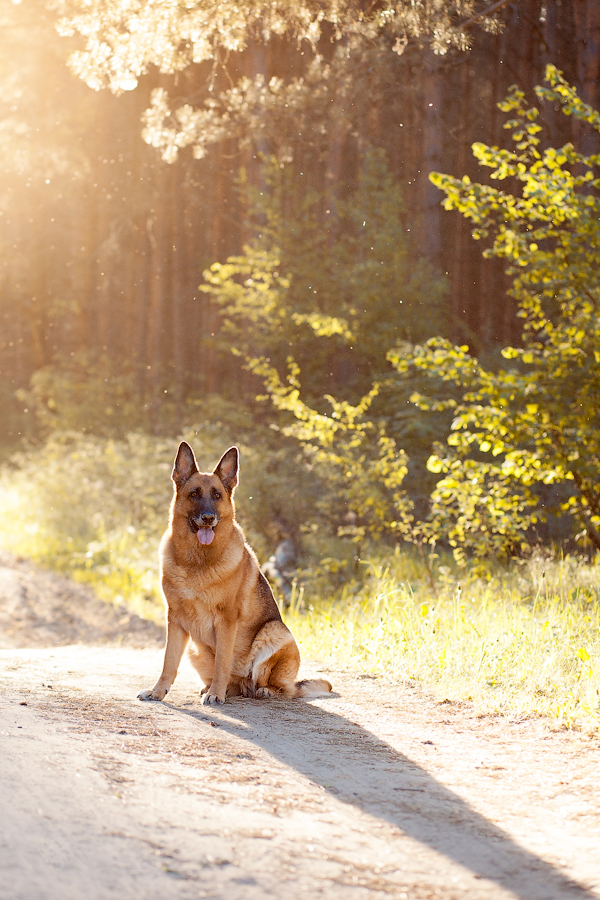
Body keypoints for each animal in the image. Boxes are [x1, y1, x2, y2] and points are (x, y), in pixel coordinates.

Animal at [137, 442, 332, 704]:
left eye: (217, 495)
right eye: (194, 494)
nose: (208, 518)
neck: (196, 562)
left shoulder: (226, 620)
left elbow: (222, 661)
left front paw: (216, 694)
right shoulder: (175, 619)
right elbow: (169, 662)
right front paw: (157, 691)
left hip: (274, 631)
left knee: (282, 688)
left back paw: (261, 690)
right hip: (195, 649)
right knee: (236, 683)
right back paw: (217, 688)